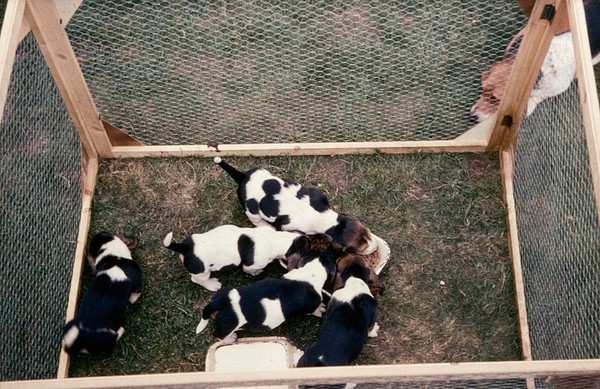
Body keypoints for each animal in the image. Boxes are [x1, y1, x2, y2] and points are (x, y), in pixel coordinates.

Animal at [164, 223, 312, 290]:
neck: (276, 239)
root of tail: (186, 249)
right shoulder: (251, 265)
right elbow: (249, 269)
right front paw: (256, 273)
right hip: (202, 272)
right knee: (197, 280)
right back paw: (212, 285)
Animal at [197, 249, 338, 342]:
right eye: (331, 255)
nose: (324, 248)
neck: (311, 270)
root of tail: (220, 303)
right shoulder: (309, 306)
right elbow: (314, 310)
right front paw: (320, 309)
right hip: (227, 326)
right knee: (217, 334)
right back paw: (230, 338)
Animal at [213, 156, 378, 256]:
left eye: (369, 233)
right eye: (357, 248)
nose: (375, 247)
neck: (328, 219)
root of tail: (242, 178)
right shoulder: (290, 227)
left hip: (261, 170)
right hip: (252, 211)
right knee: (256, 219)